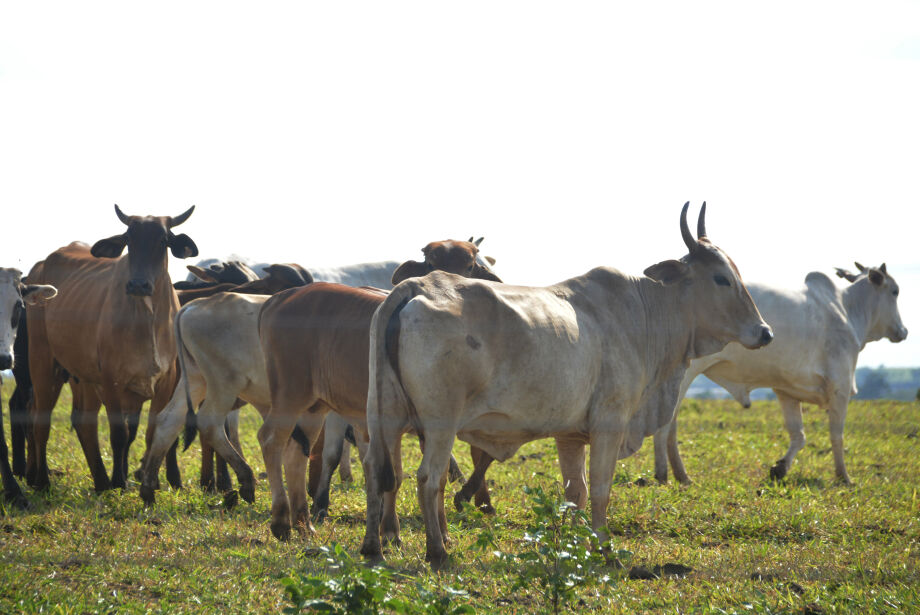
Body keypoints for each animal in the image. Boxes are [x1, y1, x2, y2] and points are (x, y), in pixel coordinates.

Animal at [24, 206, 197, 490]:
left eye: (163, 240)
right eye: (129, 239)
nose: (138, 284)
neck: (147, 318)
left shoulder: (165, 380)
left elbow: (151, 433)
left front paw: (147, 482)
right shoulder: (111, 379)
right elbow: (119, 435)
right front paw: (120, 481)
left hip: (83, 377)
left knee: (84, 422)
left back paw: (100, 481)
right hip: (42, 361)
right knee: (41, 421)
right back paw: (42, 480)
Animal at [360, 205, 776, 572]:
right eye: (721, 278)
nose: (765, 332)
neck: (645, 312)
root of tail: (417, 286)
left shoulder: (570, 435)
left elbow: (575, 493)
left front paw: (577, 549)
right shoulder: (610, 423)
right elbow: (600, 490)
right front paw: (605, 552)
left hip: (385, 416)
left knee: (378, 471)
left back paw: (374, 547)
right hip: (440, 423)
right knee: (429, 478)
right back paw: (438, 552)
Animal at [656, 260, 904, 486]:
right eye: (895, 291)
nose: (903, 331)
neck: (848, 309)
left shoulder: (787, 391)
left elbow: (799, 436)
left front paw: (780, 468)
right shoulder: (840, 386)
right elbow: (837, 436)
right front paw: (844, 477)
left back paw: (679, 475)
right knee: (667, 424)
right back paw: (673, 476)